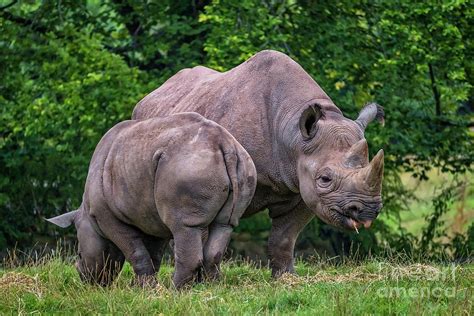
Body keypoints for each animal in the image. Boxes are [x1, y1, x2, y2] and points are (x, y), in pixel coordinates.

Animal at [46, 112, 258, 288]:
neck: (87, 215)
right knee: (224, 225)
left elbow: (135, 251)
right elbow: (153, 254)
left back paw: (176, 292)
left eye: (80, 254)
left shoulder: (106, 216)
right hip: (244, 165)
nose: (86, 280)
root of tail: (225, 143)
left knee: (184, 226)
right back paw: (210, 289)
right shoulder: (151, 218)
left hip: (187, 166)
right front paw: (145, 288)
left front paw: (144, 289)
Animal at [133, 49, 386, 276]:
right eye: (325, 179)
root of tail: (149, 96)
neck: (293, 136)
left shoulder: (301, 184)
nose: (368, 210)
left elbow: (284, 238)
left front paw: (285, 278)